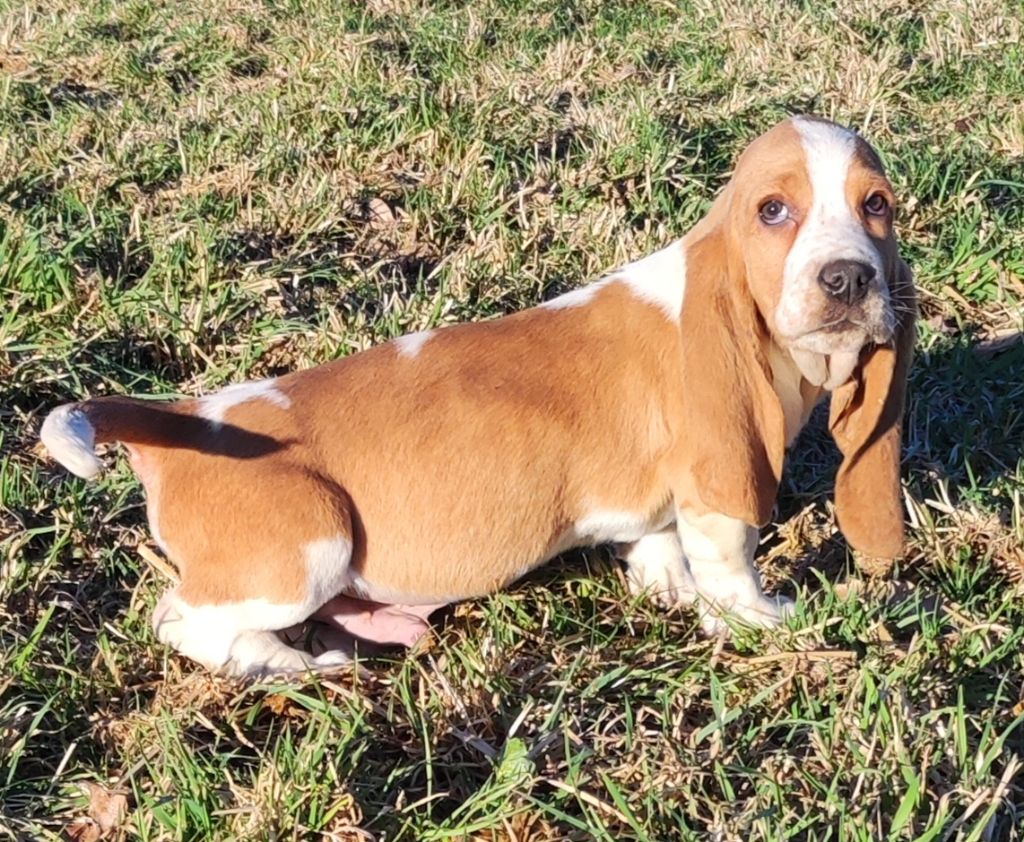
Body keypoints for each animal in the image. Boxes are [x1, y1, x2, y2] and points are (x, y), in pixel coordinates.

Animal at [41, 117, 921, 680]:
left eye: (877, 205)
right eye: (773, 211)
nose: (848, 279)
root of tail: (179, 421)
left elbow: (658, 539)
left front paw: (666, 584)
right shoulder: (718, 480)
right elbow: (729, 556)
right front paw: (759, 618)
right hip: (303, 552)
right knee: (180, 618)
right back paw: (281, 663)